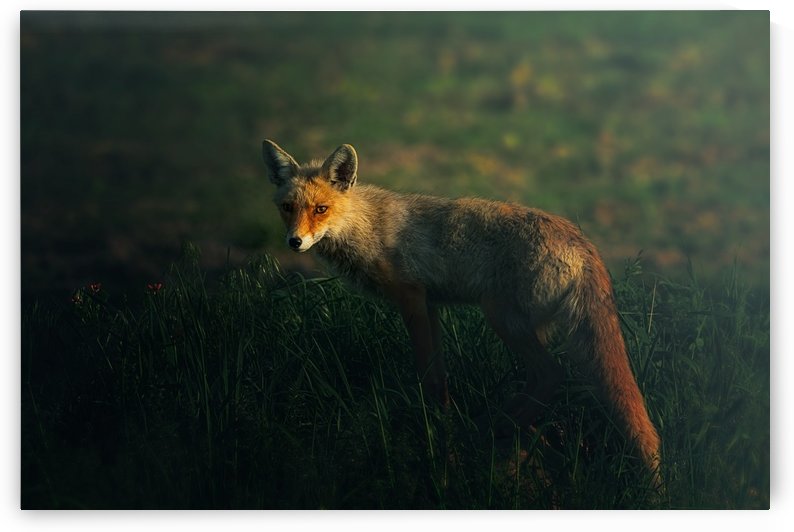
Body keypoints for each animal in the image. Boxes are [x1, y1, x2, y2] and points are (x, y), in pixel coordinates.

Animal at [261, 139, 661, 481]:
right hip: (528, 326)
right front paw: (446, 421)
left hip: (501, 316)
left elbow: (430, 377)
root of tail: (584, 244)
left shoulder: (411, 299)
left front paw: (440, 436)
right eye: (287, 208)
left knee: (551, 374)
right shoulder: (430, 304)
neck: (366, 227)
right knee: (542, 383)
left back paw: (490, 428)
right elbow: (440, 376)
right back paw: (510, 429)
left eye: (321, 209)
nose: (295, 242)